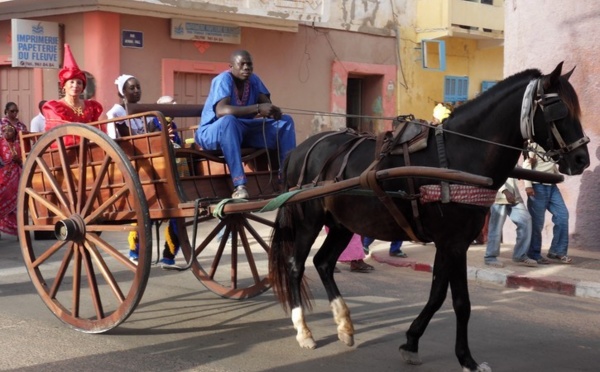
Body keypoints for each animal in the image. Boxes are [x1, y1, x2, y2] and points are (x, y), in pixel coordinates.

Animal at [268, 62, 592, 370]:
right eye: (558, 108)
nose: (581, 160)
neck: (459, 154)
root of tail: (299, 150)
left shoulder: (450, 243)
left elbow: (437, 294)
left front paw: (411, 343)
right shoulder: (454, 242)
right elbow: (460, 302)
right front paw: (467, 359)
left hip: (341, 224)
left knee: (323, 263)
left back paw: (344, 324)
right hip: (308, 221)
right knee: (296, 266)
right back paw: (303, 331)